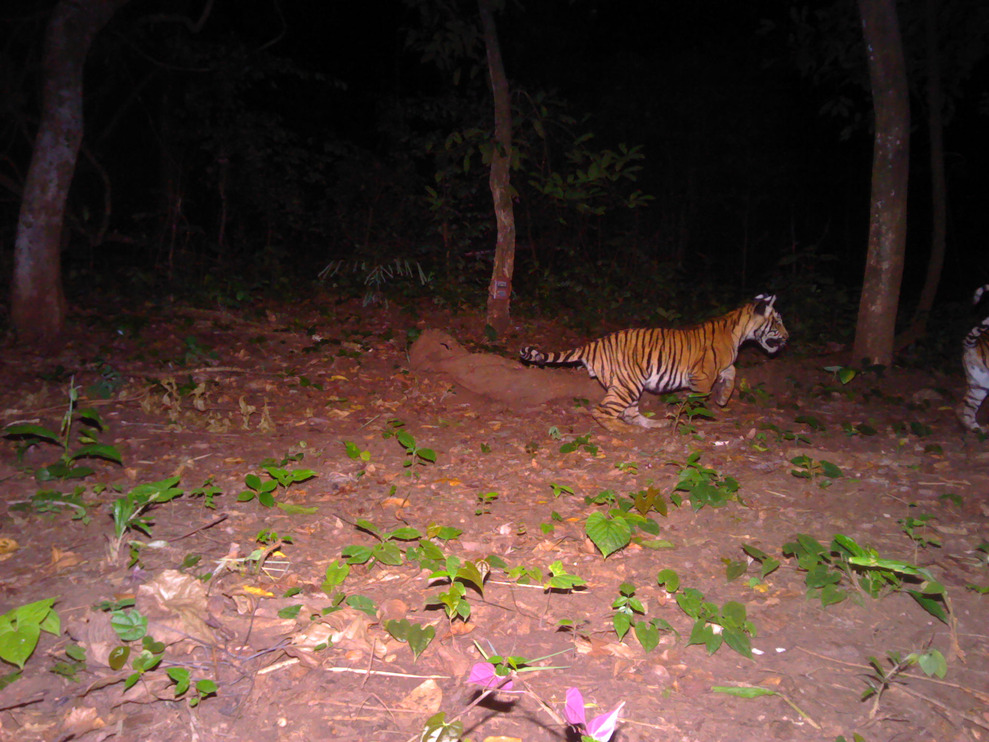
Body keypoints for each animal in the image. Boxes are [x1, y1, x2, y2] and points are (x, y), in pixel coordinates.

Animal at [520, 294, 788, 430]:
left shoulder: (719, 367)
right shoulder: (702, 374)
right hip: (628, 384)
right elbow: (697, 400)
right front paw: (696, 416)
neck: (740, 332)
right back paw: (623, 430)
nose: (788, 337)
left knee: (629, 413)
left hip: (628, 385)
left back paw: (654, 424)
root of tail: (595, 343)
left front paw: (723, 398)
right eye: (778, 321)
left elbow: (731, 373)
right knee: (601, 410)